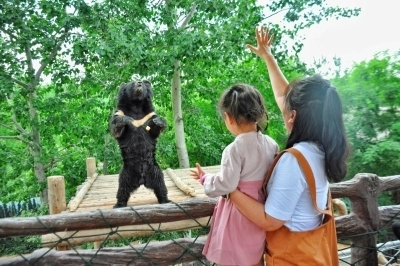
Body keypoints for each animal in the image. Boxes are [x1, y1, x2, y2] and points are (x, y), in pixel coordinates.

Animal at [109, 79, 170, 208]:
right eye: (132, 83)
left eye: (141, 81)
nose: (139, 83)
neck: (136, 105)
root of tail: (142, 180)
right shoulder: (120, 112)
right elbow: (116, 126)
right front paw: (127, 120)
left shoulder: (149, 115)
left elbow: (154, 130)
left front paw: (159, 121)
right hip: (125, 174)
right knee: (122, 190)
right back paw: (119, 204)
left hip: (155, 171)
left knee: (161, 186)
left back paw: (165, 200)